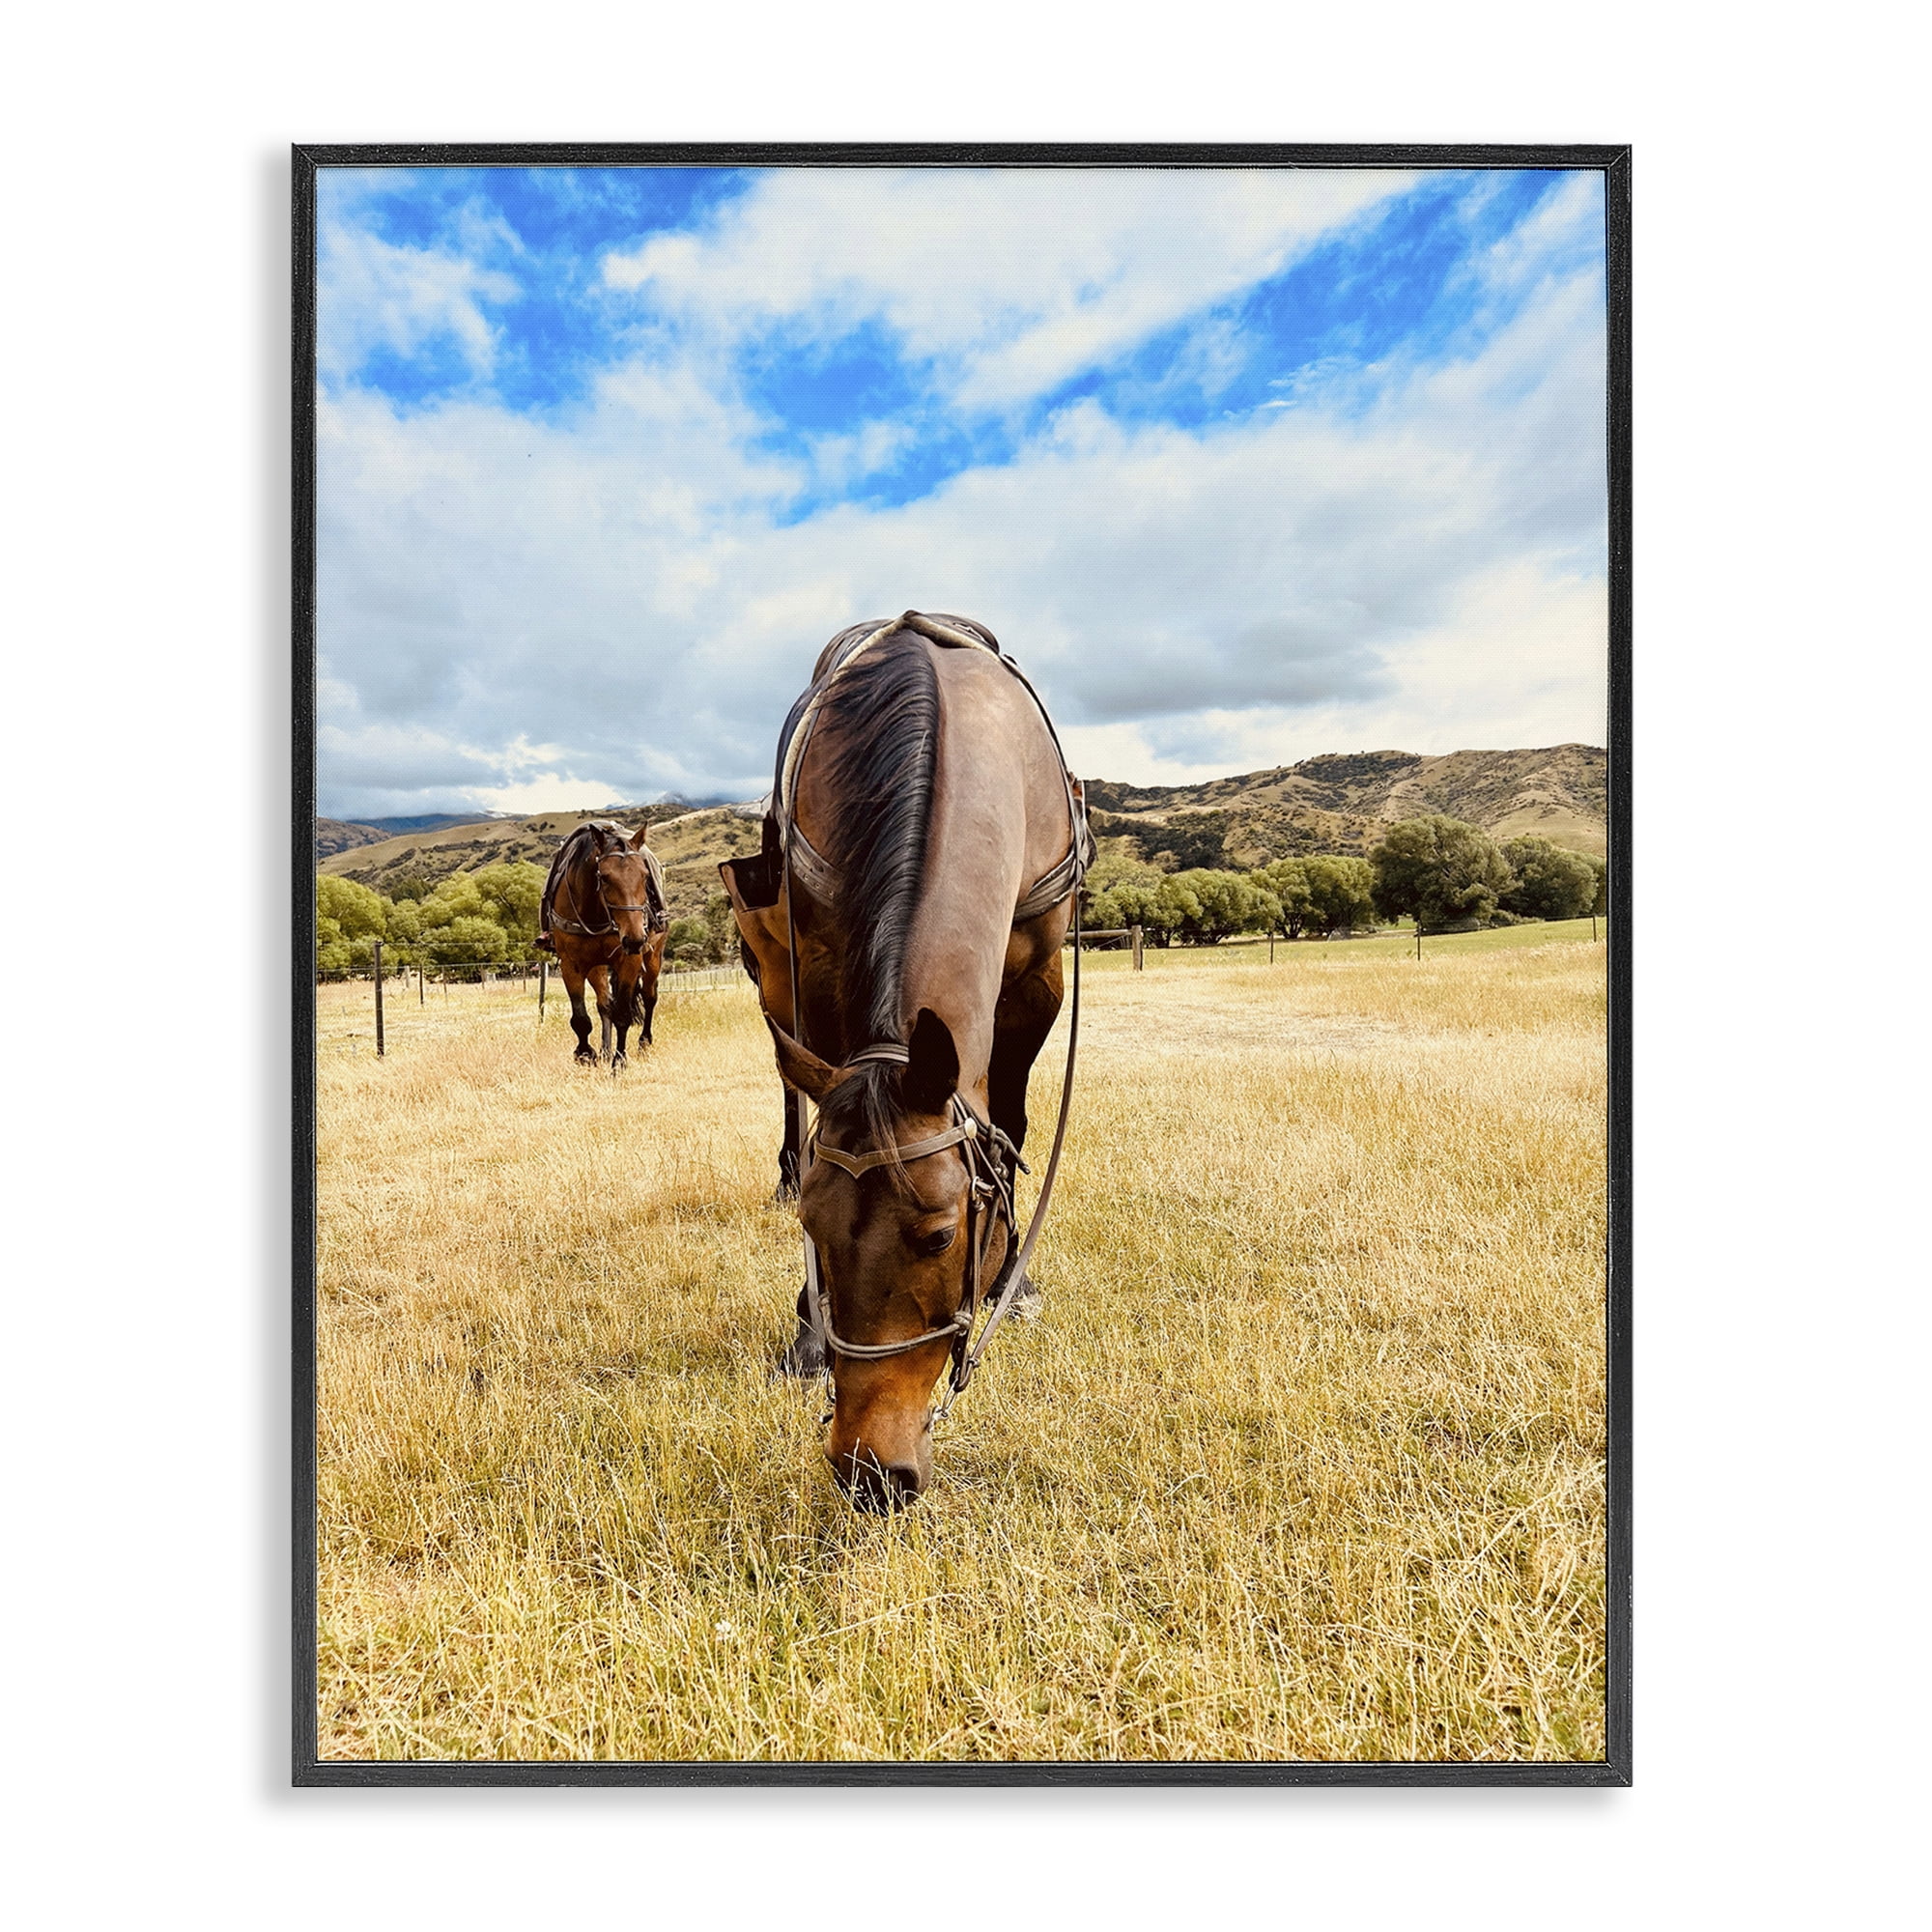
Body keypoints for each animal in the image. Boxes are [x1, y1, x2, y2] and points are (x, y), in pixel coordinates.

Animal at [538, 820, 669, 1070]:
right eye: (605, 877)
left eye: (645, 876)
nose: (635, 938)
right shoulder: (571, 965)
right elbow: (581, 1018)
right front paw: (585, 1054)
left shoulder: (630, 960)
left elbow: (623, 1014)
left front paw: (619, 1062)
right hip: (597, 966)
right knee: (604, 1003)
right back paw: (605, 1049)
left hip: (653, 957)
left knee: (650, 997)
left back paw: (644, 1043)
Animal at [719, 611, 1091, 1510]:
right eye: (813, 1227)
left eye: (942, 1234)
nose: (869, 1472)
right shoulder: (820, 969)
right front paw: (807, 1329)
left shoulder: (1038, 976)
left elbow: (1012, 1120)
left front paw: (1013, 1280)